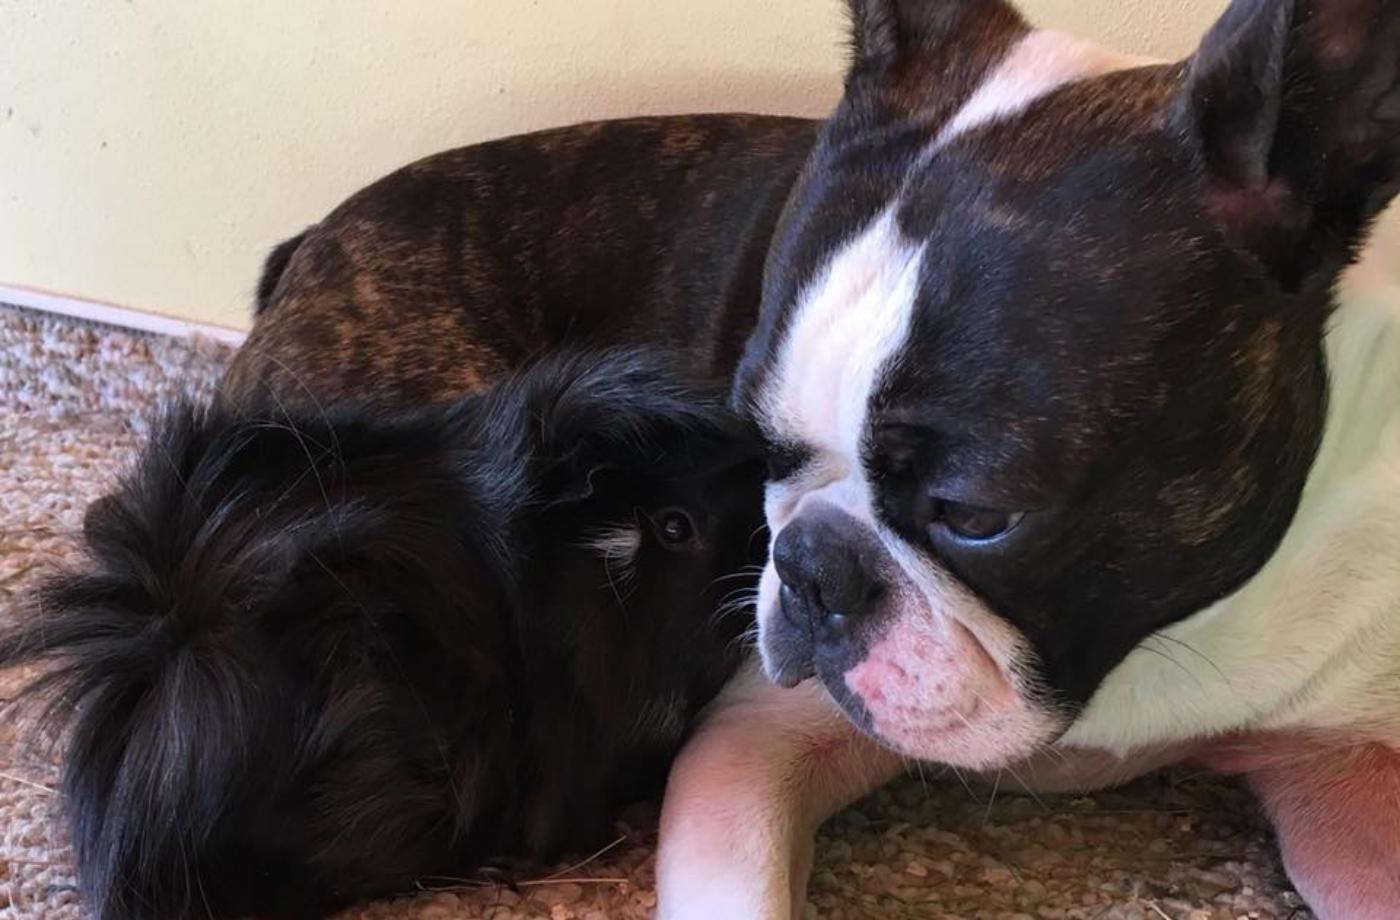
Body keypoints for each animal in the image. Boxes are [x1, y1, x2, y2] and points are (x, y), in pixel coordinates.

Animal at [219, 0, 1400, 916]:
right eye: (751, 445)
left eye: (976, 513)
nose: (806, 566)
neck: (1152, 645)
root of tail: (311, 242)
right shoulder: (753, 744)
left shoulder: (1350, 771)